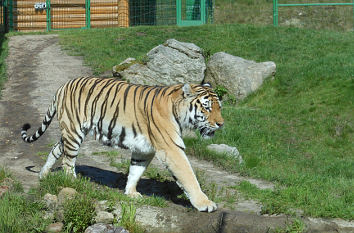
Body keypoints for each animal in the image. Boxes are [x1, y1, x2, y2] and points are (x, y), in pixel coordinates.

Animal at [20, 77, 224, 212]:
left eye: (219, 107)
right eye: (207, 107)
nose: (221, 124)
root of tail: (63, 86)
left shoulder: (144, 150)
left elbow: (136, 171)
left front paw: (131, 193)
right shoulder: (171, 149)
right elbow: (189, 176)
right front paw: (205, 204)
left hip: (70, 133)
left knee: (55, 149)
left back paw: (43, 174)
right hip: (73, 131)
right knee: (68, 161)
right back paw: (72, 181)